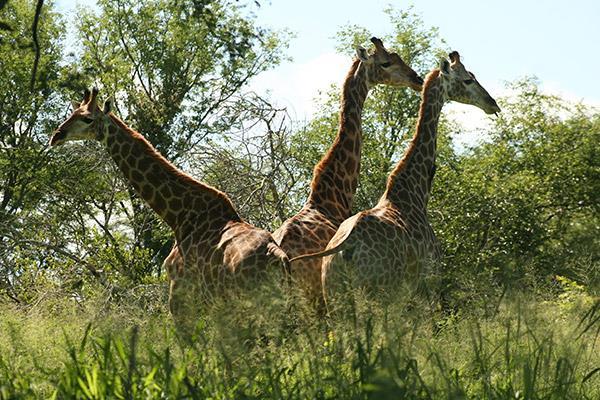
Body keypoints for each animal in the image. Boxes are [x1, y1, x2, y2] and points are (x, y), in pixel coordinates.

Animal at [50, 88, 290, 334]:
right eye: (72, 113)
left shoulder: (180, 297)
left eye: (87, 118)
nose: (56, 135)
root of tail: (276, 256)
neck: (179, 215)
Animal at [290, 50, 502, 306]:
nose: (493, 103)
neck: (414, 191)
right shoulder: (430, 284)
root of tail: (345, 250)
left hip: (334, 297)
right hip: (375, 296)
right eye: (468, 79)